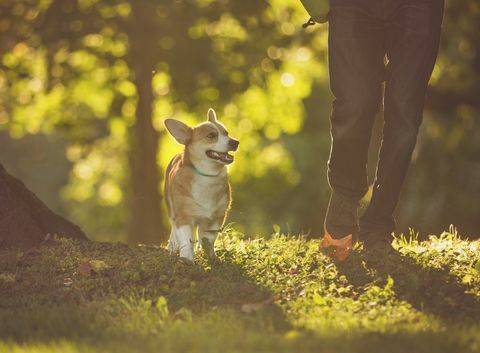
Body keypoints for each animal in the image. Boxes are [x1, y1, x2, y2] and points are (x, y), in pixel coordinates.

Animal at [164, 108, 239, 262]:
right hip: (172, 210)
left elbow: (208, 239)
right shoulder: (183, 216)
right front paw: (187, 258)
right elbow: (186, 239)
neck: (206, 176)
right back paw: (173, 247)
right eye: (211, 135)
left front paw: (209, 256)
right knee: (174, 230)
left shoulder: (216, 217)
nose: (235, 142)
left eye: (226, 133)